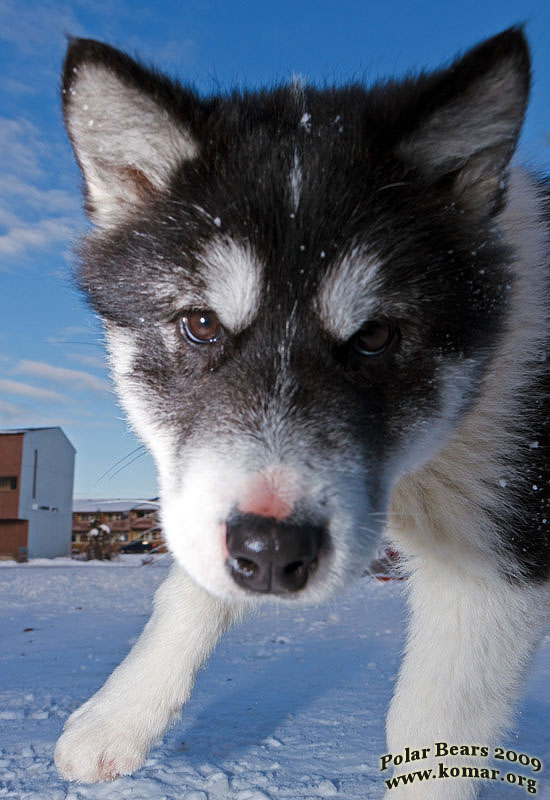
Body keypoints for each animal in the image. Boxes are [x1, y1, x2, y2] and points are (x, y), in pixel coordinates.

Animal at [57, 28, 550, 796]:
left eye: (375, 336)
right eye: (201, 324)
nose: (272, 549)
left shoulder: (497, 562)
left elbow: (430, 725)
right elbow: (189, 588)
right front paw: (119, 716)